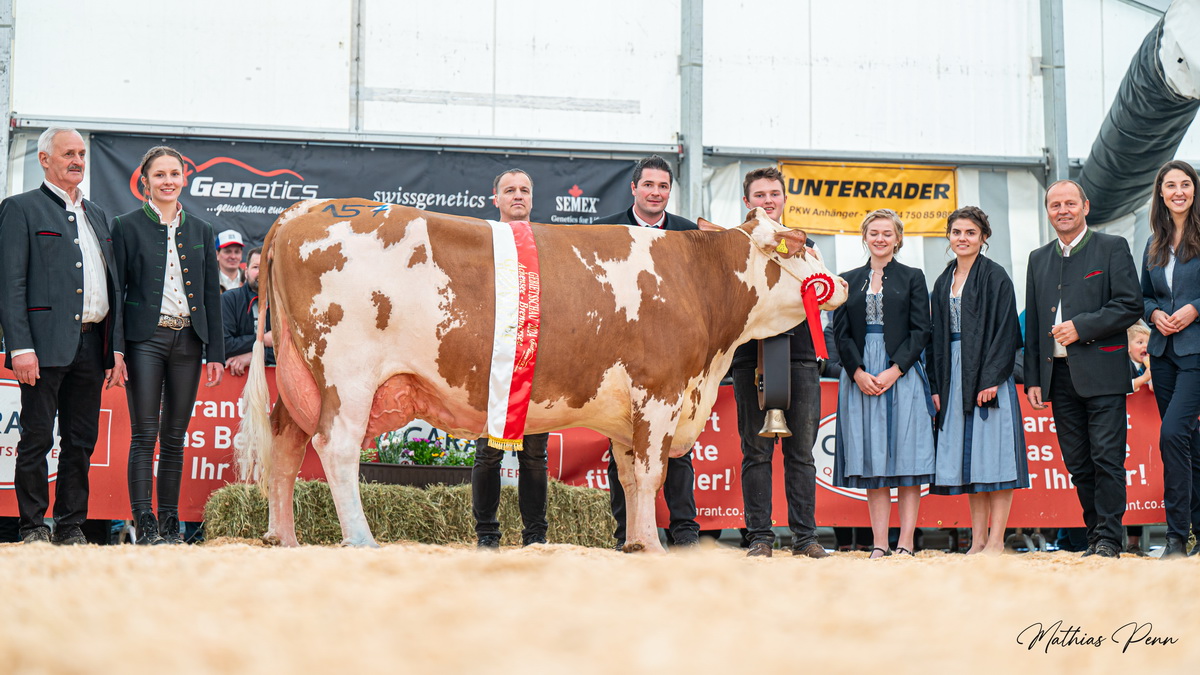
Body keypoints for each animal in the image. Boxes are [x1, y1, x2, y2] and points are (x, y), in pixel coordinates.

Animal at [238, 198, 849, 547]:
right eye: (807, 243)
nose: (840, 285)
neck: (697, 279)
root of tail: (301, 212)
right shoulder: (659, 392)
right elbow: (651, 474)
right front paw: (652, 546)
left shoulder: (630, 411)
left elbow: (630, 478)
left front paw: (633, 545)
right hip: (348, 374)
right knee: (335, 449)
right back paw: (360, 541)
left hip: (300, 376)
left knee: (286, 443)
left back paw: (283, 537)